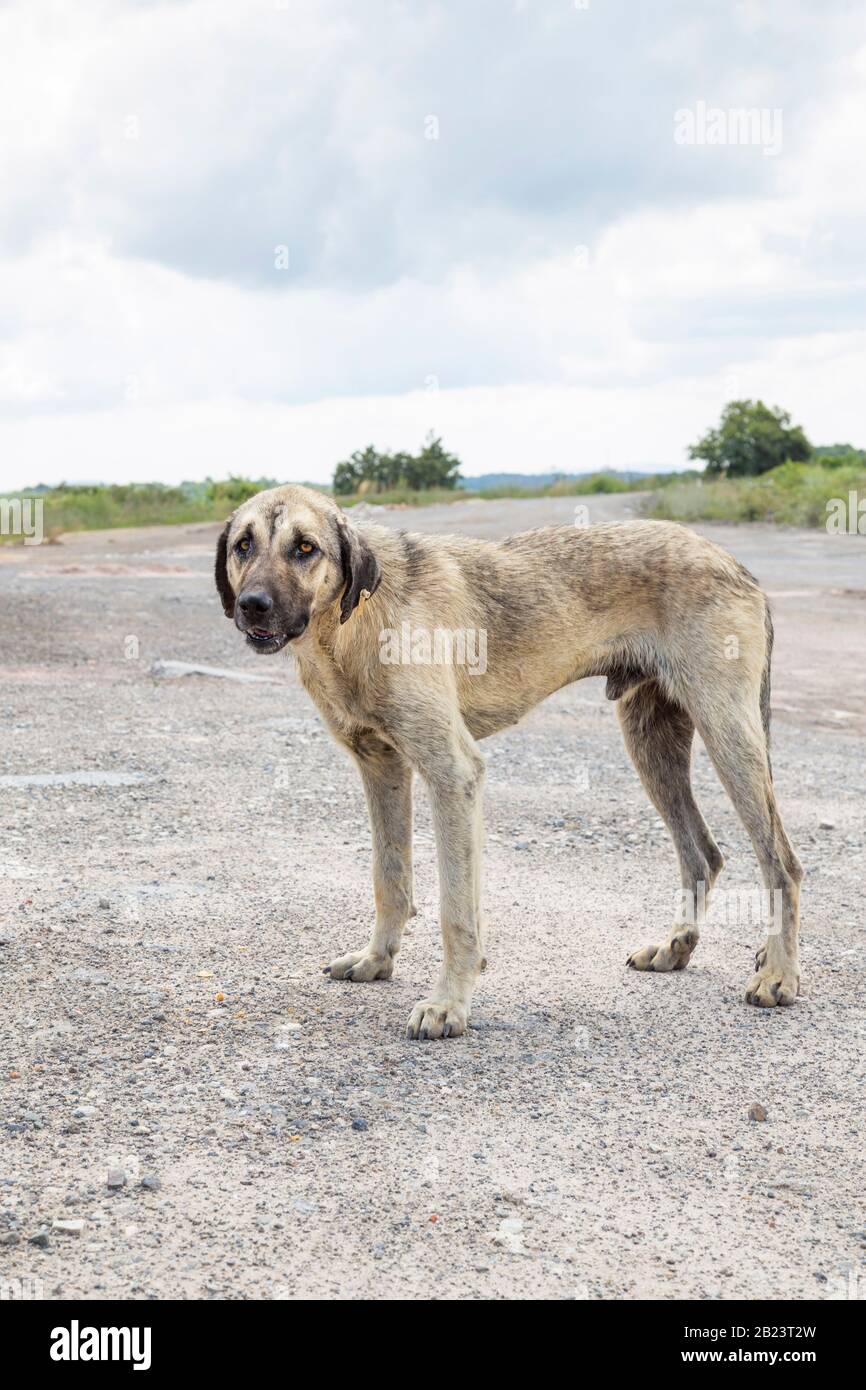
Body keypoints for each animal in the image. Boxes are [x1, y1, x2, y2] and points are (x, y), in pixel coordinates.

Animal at [214, 483, 800, 1039]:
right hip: (652, 744)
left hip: (729, 737)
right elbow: (390, 878)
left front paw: (448, 1003)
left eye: (305, 547)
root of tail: (733, 562)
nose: (253, 605)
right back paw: (676, 947)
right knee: (703, 854)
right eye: (243, 545)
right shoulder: (383, 769)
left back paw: (779, 974)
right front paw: (378, 959)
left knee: (782, 864)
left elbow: (455, 910)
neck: (356, 618)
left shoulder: (453, 772)